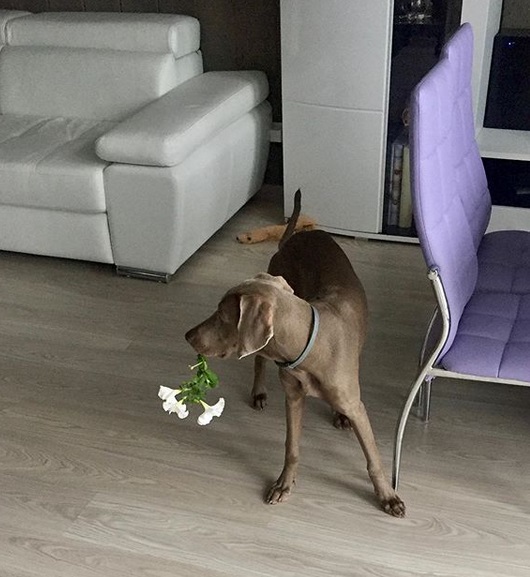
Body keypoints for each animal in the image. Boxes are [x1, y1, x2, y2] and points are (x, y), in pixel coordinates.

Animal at [186, 190, 404, 516]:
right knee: (259, 359)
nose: (188, 336)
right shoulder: (293, 397)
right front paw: (283, 484)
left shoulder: (357, 406)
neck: (310, 349)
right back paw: (259, 393)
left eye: (222, 316)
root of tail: (293, 238)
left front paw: (387, 496)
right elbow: (292, 447)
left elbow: (373, 459)